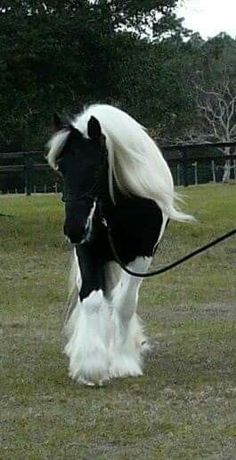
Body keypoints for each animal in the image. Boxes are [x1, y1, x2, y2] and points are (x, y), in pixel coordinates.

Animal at [46, 104, 192, 384]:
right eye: (61, 167)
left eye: (95, 167)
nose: (74, 229)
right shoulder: (87, 251)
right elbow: (91, 299)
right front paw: (91, 366)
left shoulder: (142, 256)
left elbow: (125, 304)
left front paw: (123, 362)